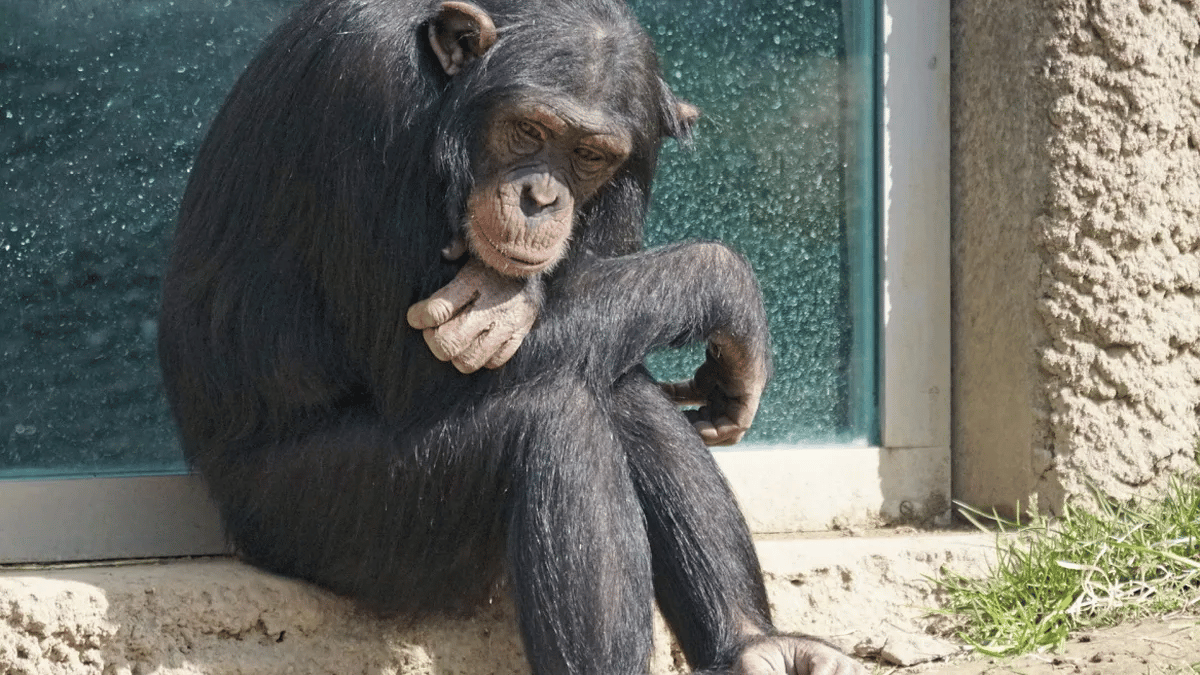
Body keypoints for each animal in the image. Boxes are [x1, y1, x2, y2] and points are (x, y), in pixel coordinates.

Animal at [159, 1, 868, 672]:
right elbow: (417, 374)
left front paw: (510, 299)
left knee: (617, 382)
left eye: (589, 156)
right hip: (321, 518)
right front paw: (726, 284)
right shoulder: (365, 92)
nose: (539, 197)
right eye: (529, 130)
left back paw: (755, 646)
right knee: (552, 421)